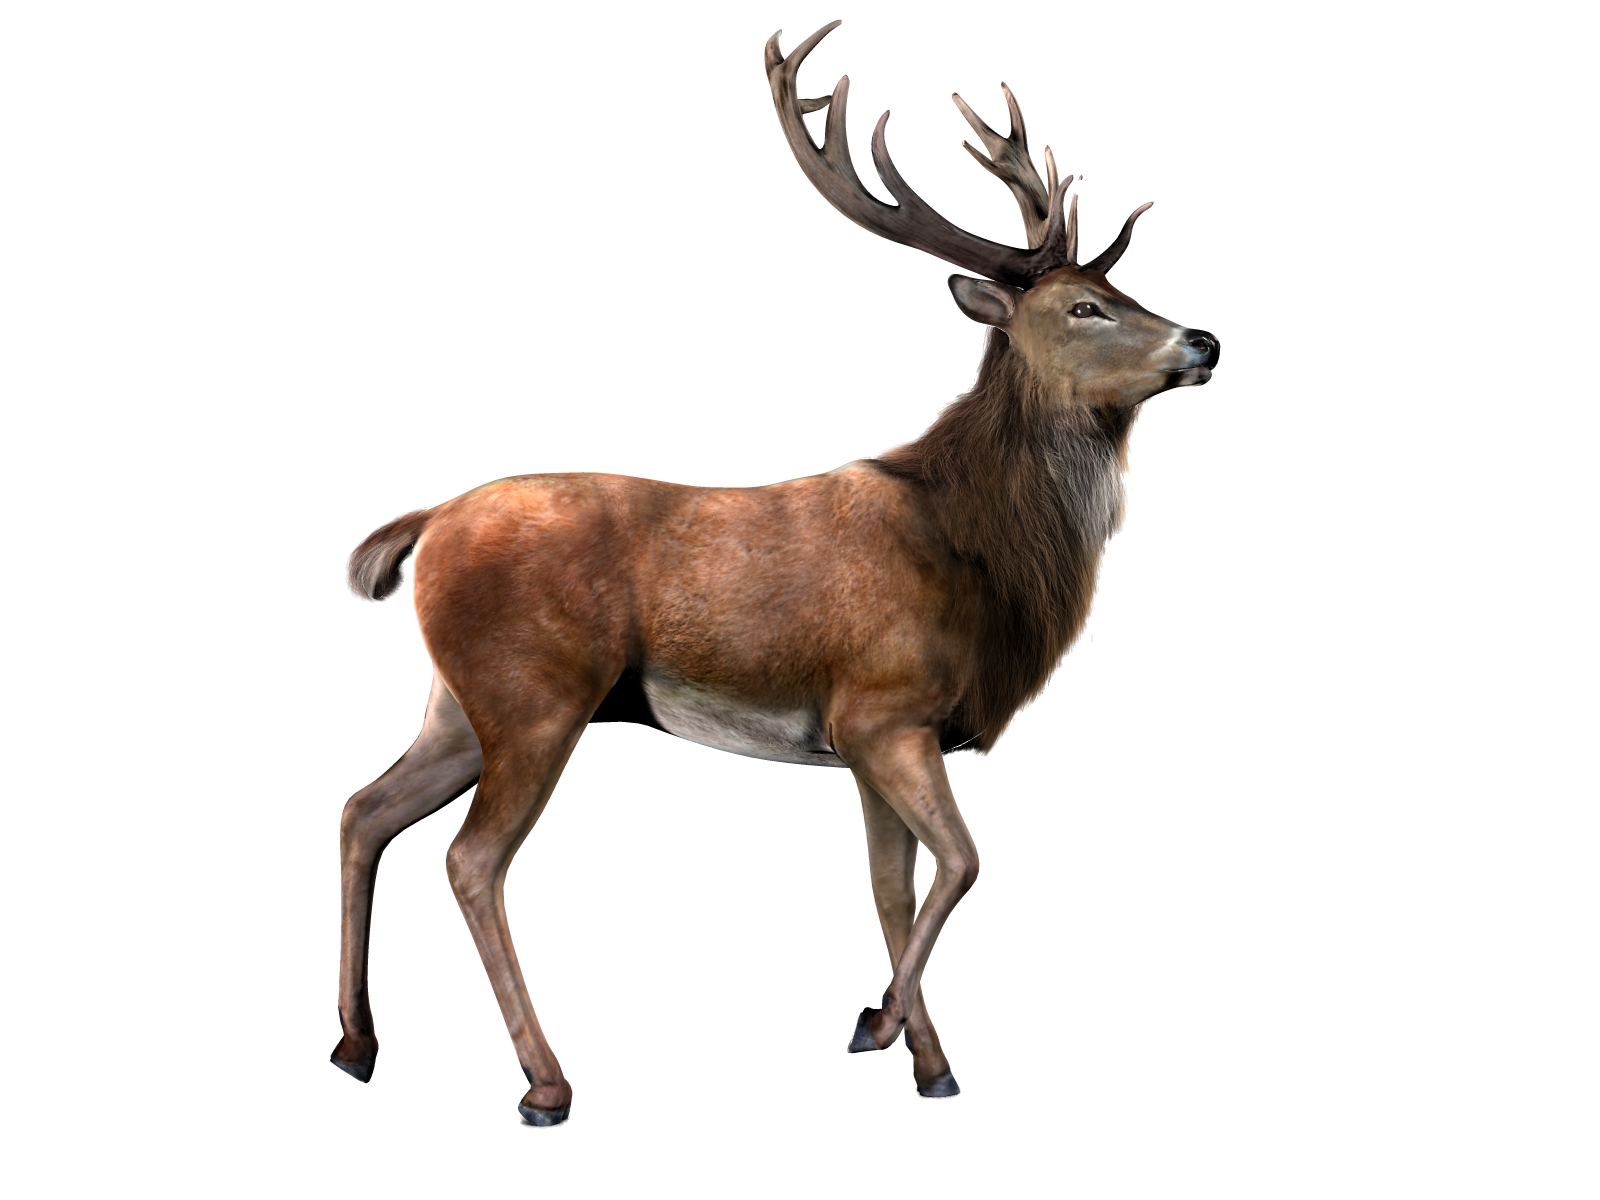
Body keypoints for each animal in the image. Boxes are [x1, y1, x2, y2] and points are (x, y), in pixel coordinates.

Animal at [330, 17, 1218, 1129]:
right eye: (1085, 306)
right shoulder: (881, 707)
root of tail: (423, 528)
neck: (981, 559)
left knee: (362, 809)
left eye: (1129, 290)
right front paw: (876, 1027)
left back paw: (356, 1047)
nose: (1204, 340)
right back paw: (545, 1083)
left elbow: (894, 890)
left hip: (457, 697)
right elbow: (965, 863)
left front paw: (926, 1063)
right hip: (537, 691)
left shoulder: (871, 740)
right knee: (470, 858)